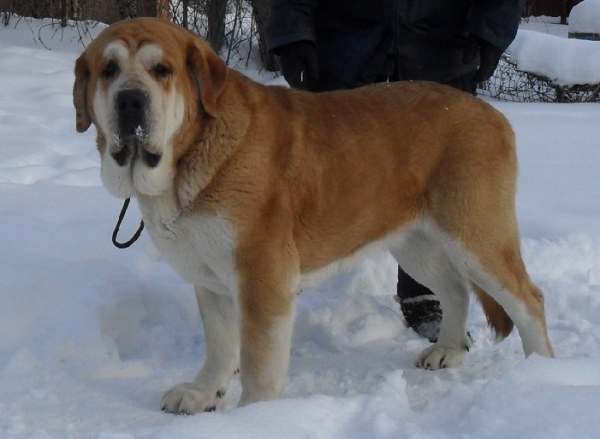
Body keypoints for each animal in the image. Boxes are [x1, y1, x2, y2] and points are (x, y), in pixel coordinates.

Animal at [74, 18, 552, 416]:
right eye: (108, 70)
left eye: (162, 70)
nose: (131, 101)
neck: (189, 155)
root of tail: (493, 114)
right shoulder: (211, 281)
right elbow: (220, 346)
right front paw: (202, 393)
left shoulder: (262, 276)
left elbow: (258, 361)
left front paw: (253, 419)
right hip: (417, 244)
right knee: (454, 290)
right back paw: (448, 349)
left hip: (476, 236)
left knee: (528, 300)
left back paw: (542, 377)